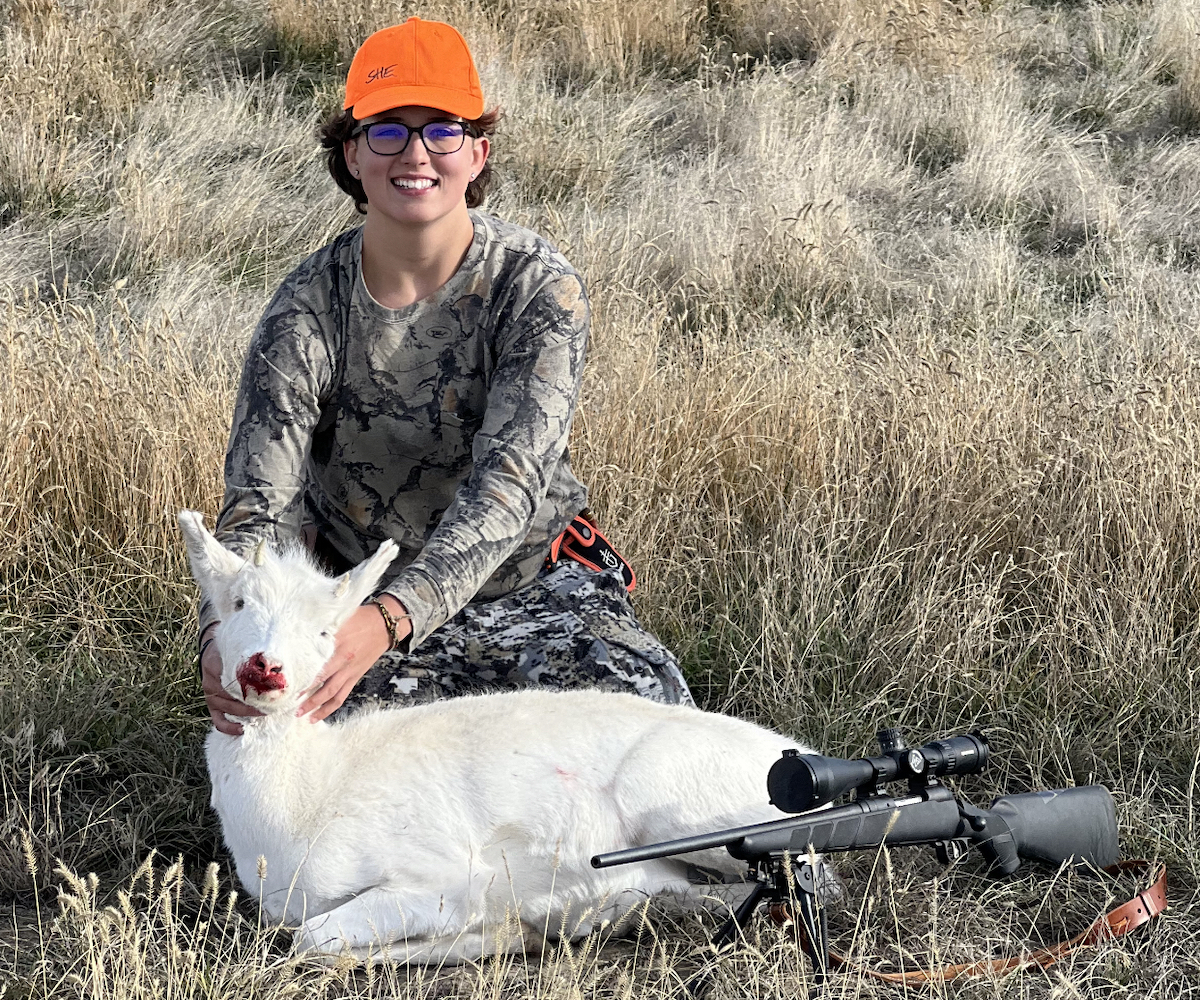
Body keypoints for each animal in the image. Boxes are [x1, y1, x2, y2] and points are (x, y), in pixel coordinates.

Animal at [179, 509, 819, 964]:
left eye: (324, 630)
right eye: (236, 603)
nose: (266, 667)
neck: (302, 804)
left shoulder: (445, 878)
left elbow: (316, 939)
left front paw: (503, 931)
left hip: (683, 812)